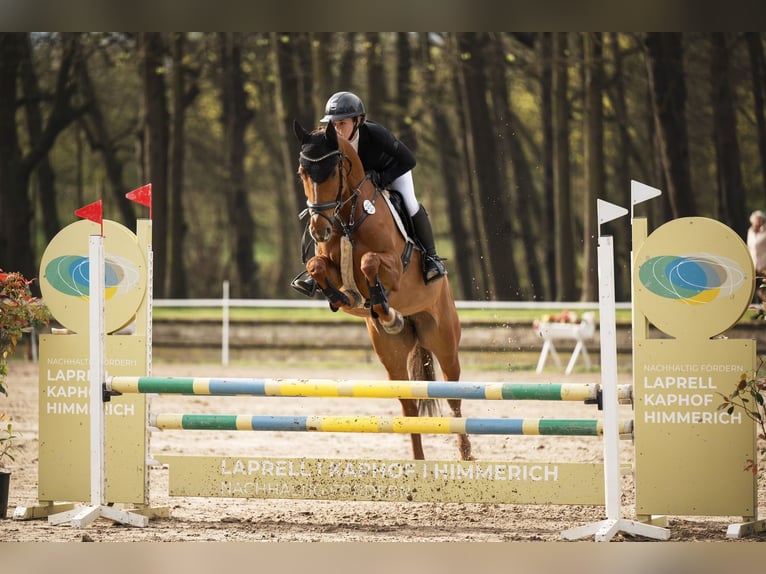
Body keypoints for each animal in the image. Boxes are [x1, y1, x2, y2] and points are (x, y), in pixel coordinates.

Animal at [294, 120, 474, 464]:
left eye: (333, 171)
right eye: (302, 173)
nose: (319, 230)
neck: (347, 216)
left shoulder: (394, 269)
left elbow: (369, 262)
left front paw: (380, 302)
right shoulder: (329, 264)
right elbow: (317, 266)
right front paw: (342, 298)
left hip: (444, 341)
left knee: (454, 398)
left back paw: (466, 454)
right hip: (392, 356)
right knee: (409, 407)